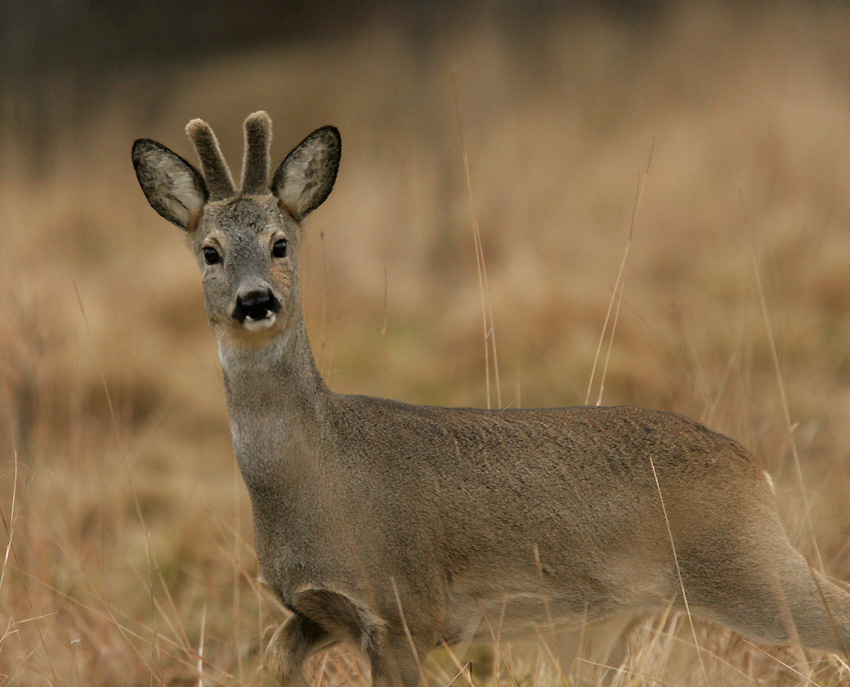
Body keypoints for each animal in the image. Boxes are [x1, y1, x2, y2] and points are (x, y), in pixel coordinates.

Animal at [132, 110, 848, 684]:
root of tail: (755, 469)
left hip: (746, 563)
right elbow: (276, 658)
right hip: (624, 618)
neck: (319, 477)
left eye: (280, 243)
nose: (256, 301)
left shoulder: (406, 607)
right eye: (210, 252)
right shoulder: (320, 612)